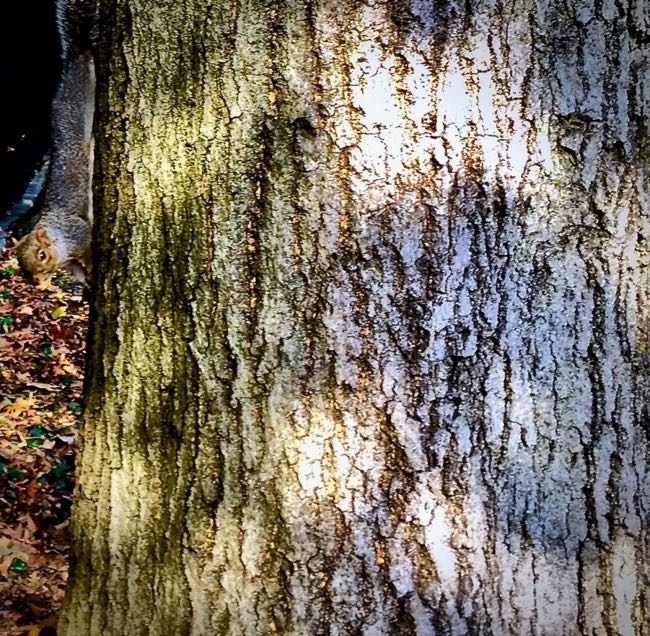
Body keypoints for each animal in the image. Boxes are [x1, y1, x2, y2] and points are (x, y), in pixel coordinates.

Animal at [16, 0, 96, 283]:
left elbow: (88, 244)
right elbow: (79, 273)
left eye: (41, 254)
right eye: (24, 270)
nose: (39, 282)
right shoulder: (70, 264)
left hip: (84, 95)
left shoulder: (77, 232)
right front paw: (88, 283)